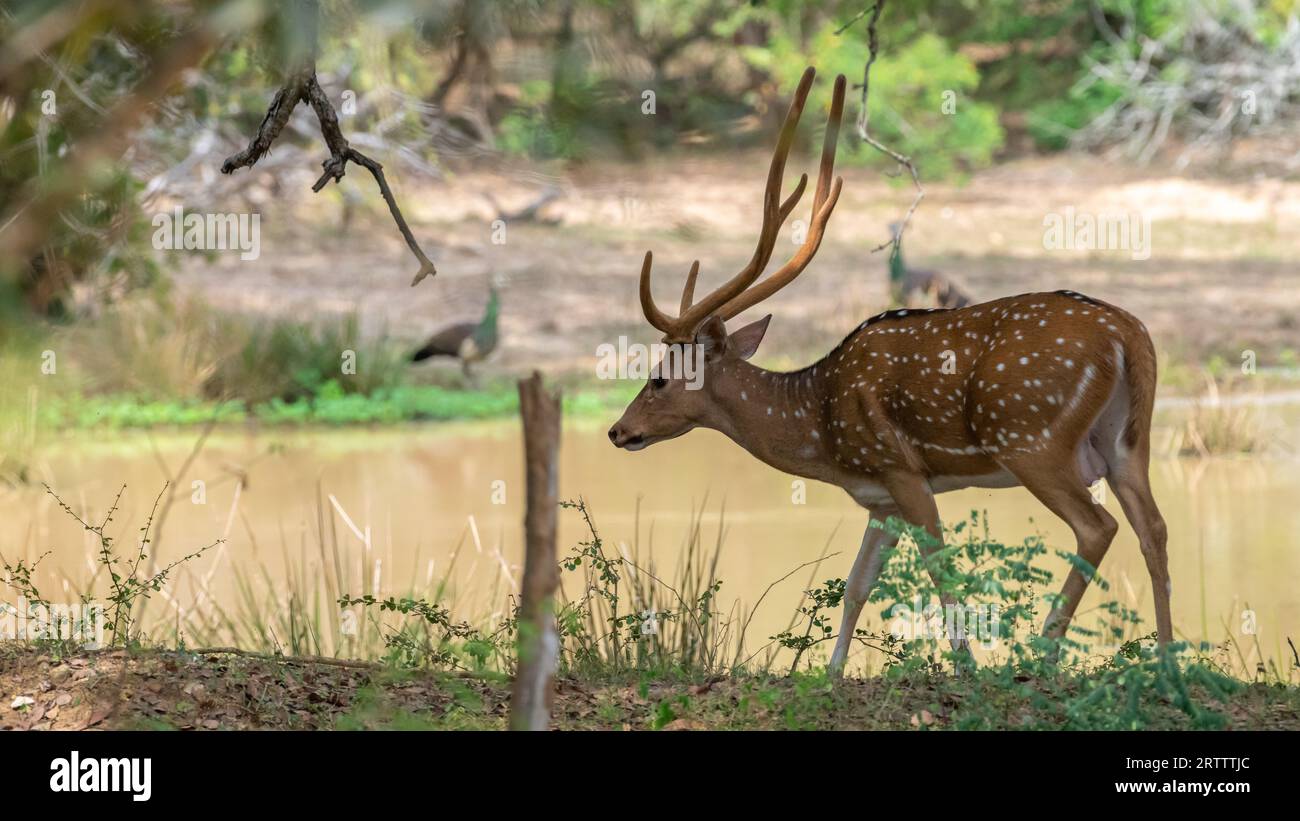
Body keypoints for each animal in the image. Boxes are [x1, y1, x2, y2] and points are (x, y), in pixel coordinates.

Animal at [606, 67, 1171, 676]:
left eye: (658, 378)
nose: (618, 430)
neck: (821, 428)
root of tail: (1128, 333)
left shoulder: (901, 468)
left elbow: (939, 567)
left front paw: (967, 667)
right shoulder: (879, 496)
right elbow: (858, 584)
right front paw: (831, 672)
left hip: (1030, 437)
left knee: (1098, 526)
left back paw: (1043, 654)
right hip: (1125, 441)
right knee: (1154, 528)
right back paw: (1171, 660)